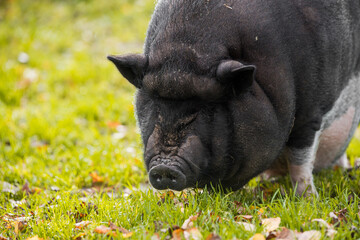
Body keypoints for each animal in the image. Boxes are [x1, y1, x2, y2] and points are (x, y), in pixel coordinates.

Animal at [109, 0, 360, 195]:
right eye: (155, 103)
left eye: (206, 108)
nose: (164, 167)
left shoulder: (310, 114)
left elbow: (301, 160)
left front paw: (307, 199)